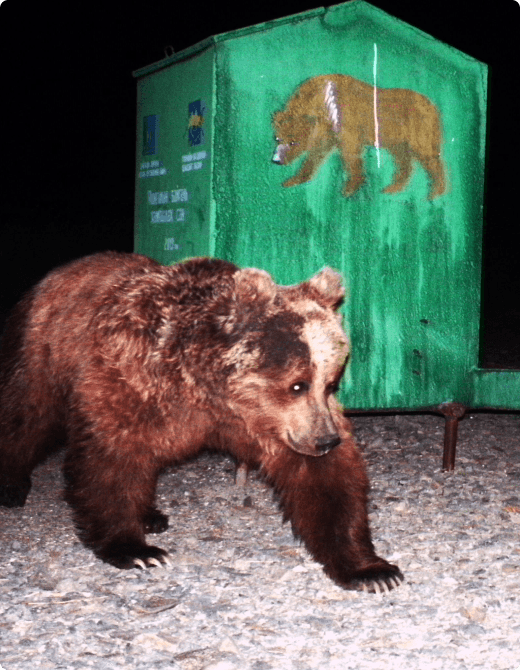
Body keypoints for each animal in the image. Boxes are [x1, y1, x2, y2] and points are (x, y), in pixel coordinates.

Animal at [0, 251, 403, 592]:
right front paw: (137, 551)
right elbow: (112, 459)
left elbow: (324, 482)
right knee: (27, 413)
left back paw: (151, 515)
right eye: (296, 384)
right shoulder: (131, 379)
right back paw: (12, 486)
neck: (210, 392)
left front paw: (372, 570)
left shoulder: (272, 424)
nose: (326, 440)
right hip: (43, 348)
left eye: (330, 382)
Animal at [272, 74, 446, 199]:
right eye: (278, 139)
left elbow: (351, 153)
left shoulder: (346, 123)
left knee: (428, 155)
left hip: (419, 129)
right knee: (403, 160)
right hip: (397, 139)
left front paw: (349, 188)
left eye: (293, 142)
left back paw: (436, 192)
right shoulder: (327, 130)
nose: (277, 160)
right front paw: (291, 180)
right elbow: (317, 153)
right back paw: (391, 188)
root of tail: (433, 106)